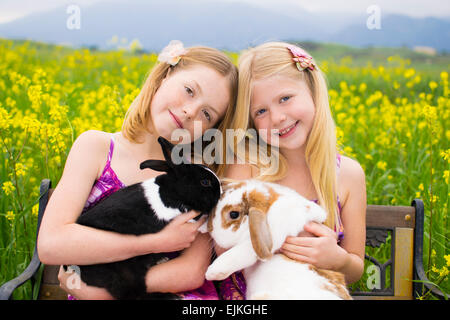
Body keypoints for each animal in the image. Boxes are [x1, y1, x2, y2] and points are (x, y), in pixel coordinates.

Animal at [70, 137, 221, 300]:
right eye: (205, 182)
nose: (221, 193)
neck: (171, 191)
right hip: (124, 273)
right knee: (133, 294)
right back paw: (170, 296)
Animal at [200, 180, 352, 300]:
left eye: (233, 214)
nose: (212, 229)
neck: (269, 208)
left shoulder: (271, 235)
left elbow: (238, 254)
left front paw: (212, 273)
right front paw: (202, 227)